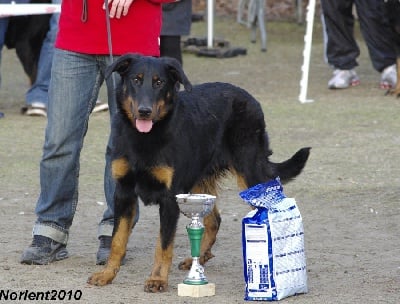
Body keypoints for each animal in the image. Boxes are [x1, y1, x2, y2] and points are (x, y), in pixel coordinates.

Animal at [87, 54, 310, 292]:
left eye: (159, 82)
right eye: (136, 80)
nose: (144, 111)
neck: (144, 138)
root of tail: (250, 98)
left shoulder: (170, 198)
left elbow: (163, 245)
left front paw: (157, 279)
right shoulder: (124, 192)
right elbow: (118, 240)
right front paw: (107, 274)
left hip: (250, 173)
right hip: (199, 180)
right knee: (214, 220)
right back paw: (199, 258)